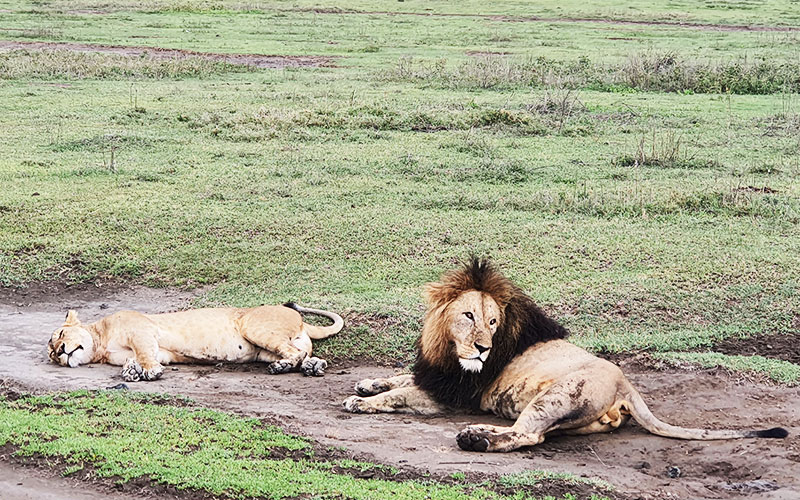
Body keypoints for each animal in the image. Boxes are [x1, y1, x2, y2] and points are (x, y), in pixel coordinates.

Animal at [47, 302, 340, 380]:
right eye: (51, 355)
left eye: (59, 336)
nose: (60, 353)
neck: (101, 344)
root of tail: (301, 321)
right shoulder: (156, 350)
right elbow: (137, 358)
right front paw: (132, 372)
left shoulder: (141, 331)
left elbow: (144, 354)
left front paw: (149, 372)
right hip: (262, 350)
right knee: (301, 354)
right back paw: (312, 366)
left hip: (253, 327)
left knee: (292, 353)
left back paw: (284, 367)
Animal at [344, 258, 788, 454]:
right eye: (468, 315)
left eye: (493, 321)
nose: (484, 348)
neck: (451, 352)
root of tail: (626, 384)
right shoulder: (438, 373)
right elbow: (401, 377)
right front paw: (367, 382)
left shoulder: (451, 395)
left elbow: (400, 395)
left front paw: (359, 401)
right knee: (534, 431)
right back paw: (480, 431)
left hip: (557, 396)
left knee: (529, 435)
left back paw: (477, 440)